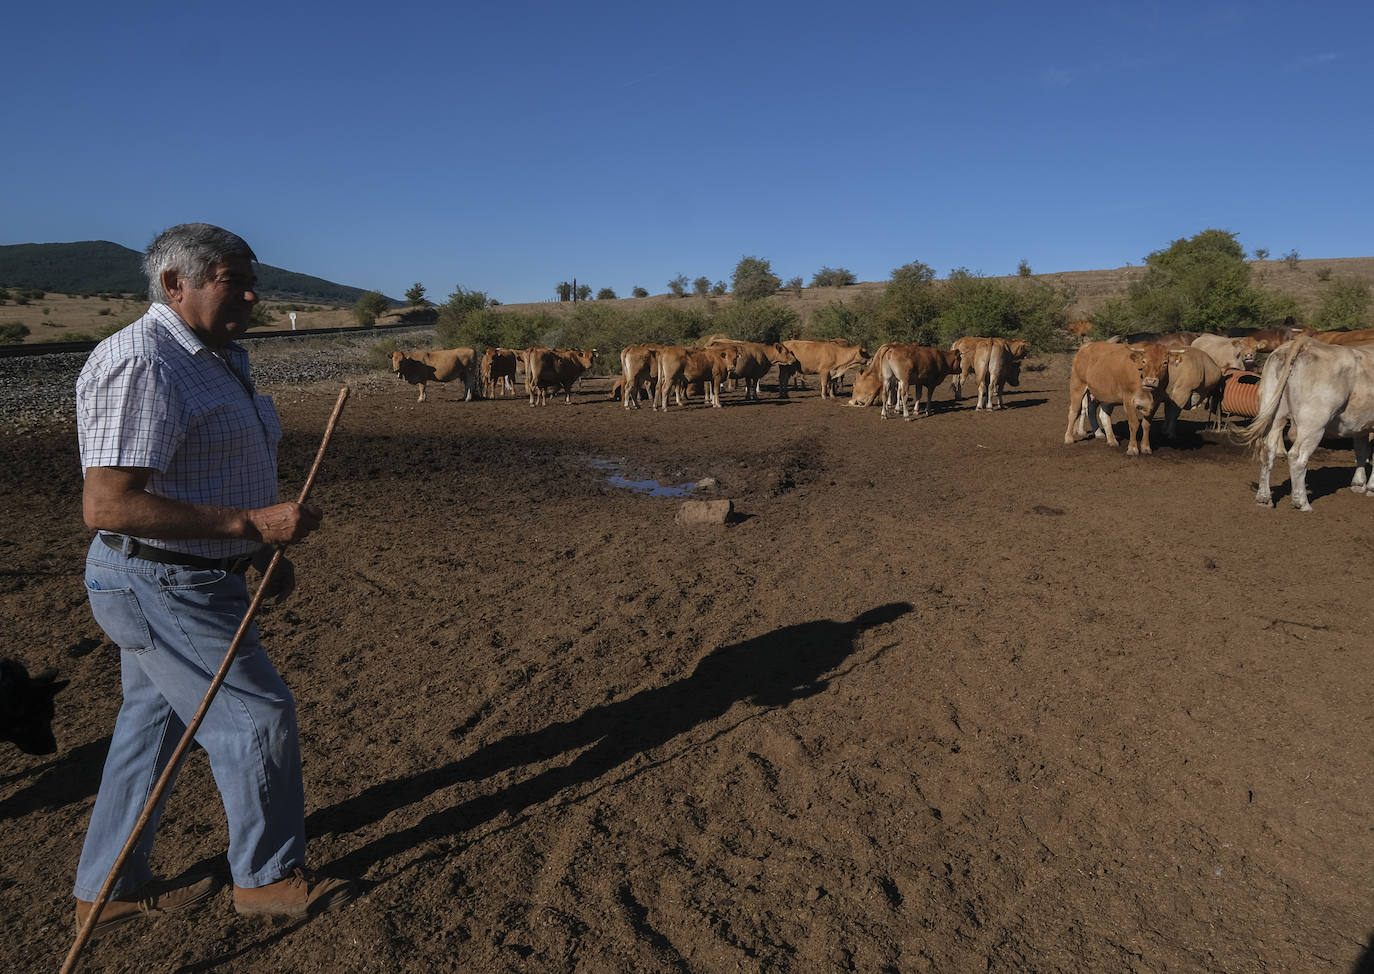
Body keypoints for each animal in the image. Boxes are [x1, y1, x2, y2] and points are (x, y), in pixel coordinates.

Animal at [1236, 336, 1374, 508]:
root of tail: (1305, 343)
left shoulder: (1361, 425)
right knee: (1297, 457)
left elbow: (1361, 451)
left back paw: (1264, 498)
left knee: (1268, 451)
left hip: (1275, 413)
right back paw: (1301, 502)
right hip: (1313, 424)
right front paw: (1370, 487)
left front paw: (1359, 484)